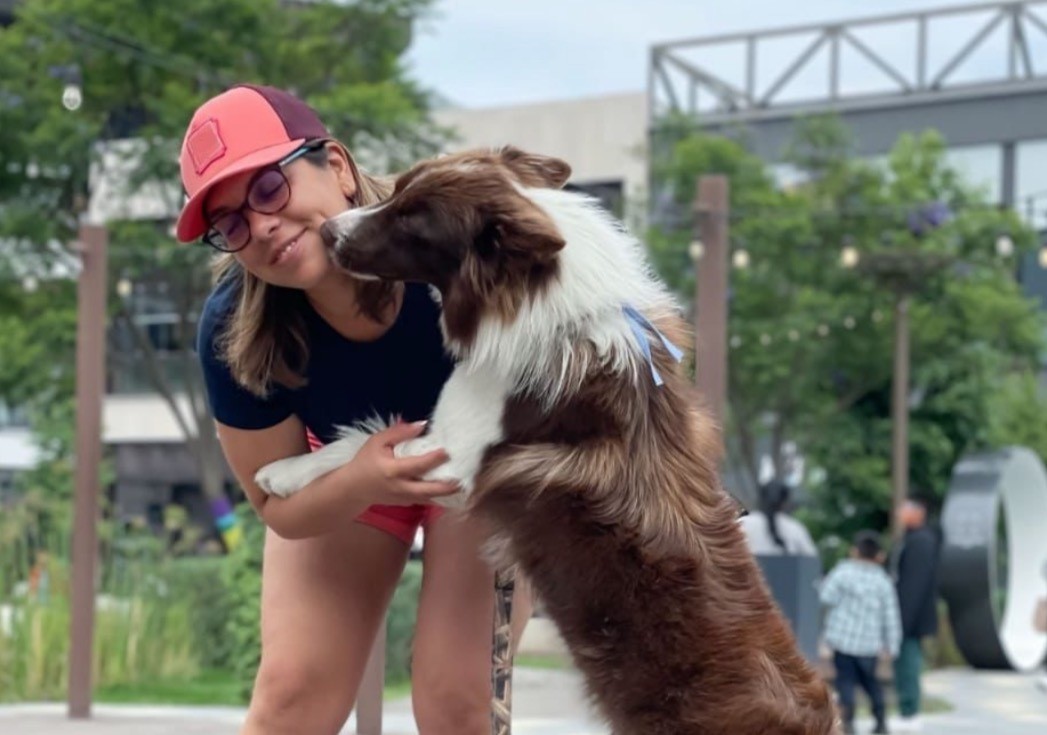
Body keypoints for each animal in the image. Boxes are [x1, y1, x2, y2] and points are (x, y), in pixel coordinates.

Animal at [257, 146, 837, 732]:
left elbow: (362, 442)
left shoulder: (449, 457)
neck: (547, 306)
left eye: (411, 222)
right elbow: (365, 436)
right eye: (397, 191)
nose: (326, 231)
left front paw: (283, 472)